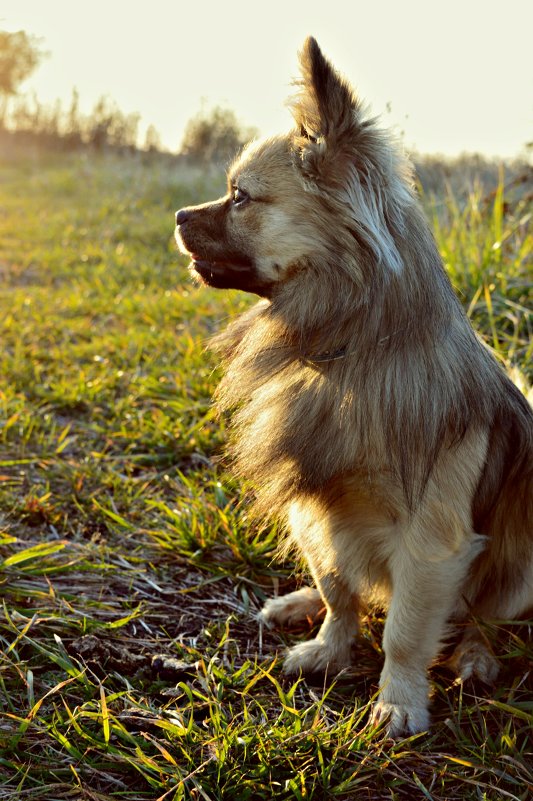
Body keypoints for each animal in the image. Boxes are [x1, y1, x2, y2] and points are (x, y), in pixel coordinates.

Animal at [175, 39, 532, 736]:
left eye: (240, 198)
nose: (177, 215)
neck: (349, 355)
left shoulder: (431, 540)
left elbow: (405, 629)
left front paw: (399, 698)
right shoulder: (315, 504)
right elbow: (339, 586)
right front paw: (328, 647)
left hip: (521, 561)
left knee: (482, 617)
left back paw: (475, 658)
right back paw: (297, 603)